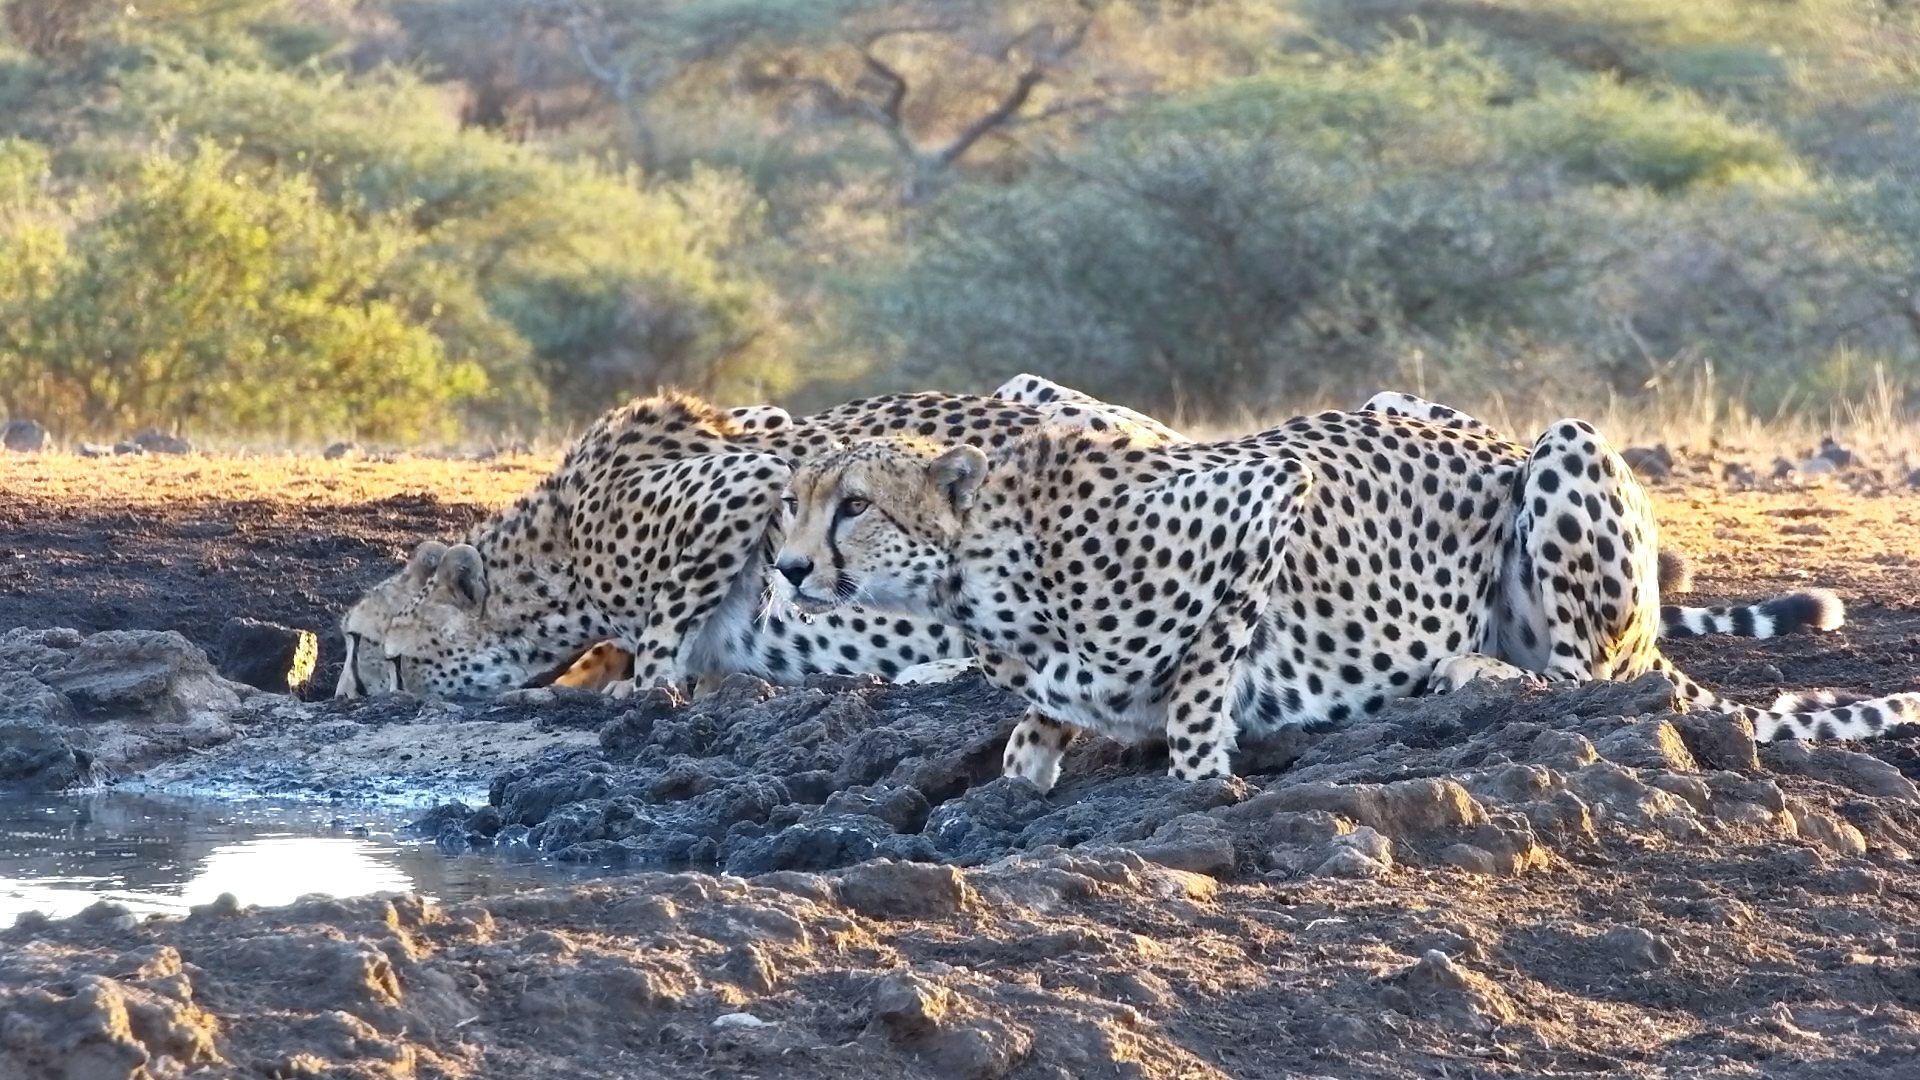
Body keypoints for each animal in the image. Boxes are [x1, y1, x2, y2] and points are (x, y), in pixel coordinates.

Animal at [773, 404, 1906, 792]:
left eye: (854, 506)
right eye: (794, 502)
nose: (786, 570)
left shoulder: (1268, 494)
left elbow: (1201, 690)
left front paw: (1199, 774)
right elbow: (1037, 731)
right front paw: (1029, 760)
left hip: (1567, 447)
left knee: (1597, 679)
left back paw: (1479, 671)